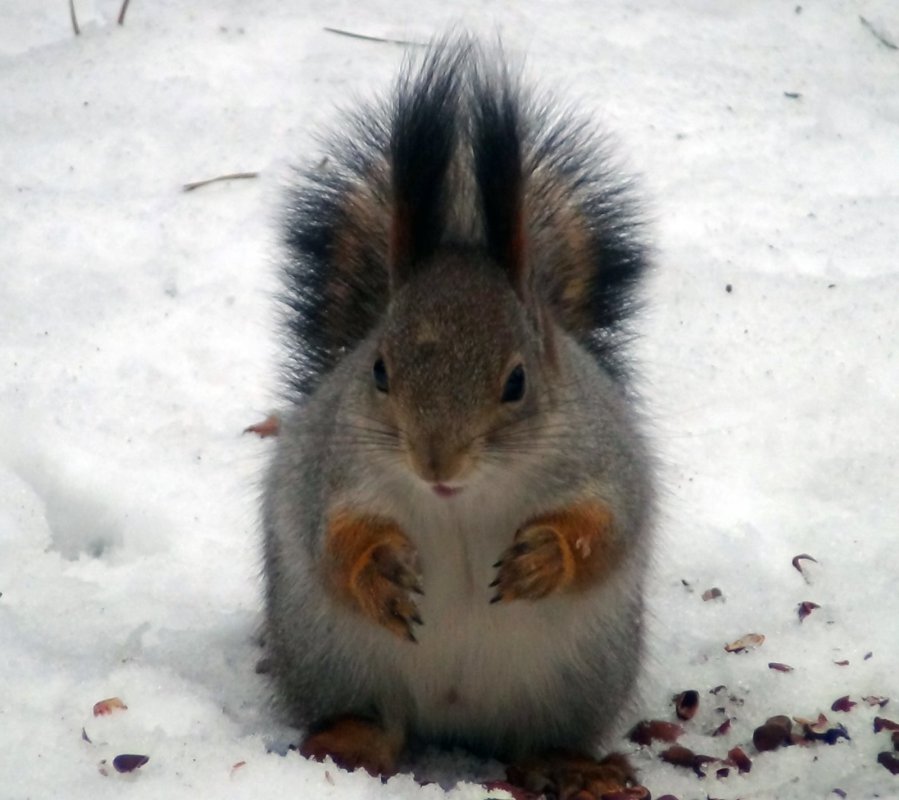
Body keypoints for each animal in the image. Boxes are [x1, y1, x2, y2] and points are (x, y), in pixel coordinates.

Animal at [261, 37, 654, 797]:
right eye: (378, 369)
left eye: (518, 381)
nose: (434, 461)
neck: (462, 501)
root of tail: (454, 722)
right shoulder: (327, 470)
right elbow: (330, 540)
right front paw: (378, 573)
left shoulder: (604, 458)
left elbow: (606, 530)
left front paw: (546, 558)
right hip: (332, 658)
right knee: (377, 718)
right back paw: (347, 745)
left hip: (576, 683)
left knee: (535, 739)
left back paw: (565, 765)